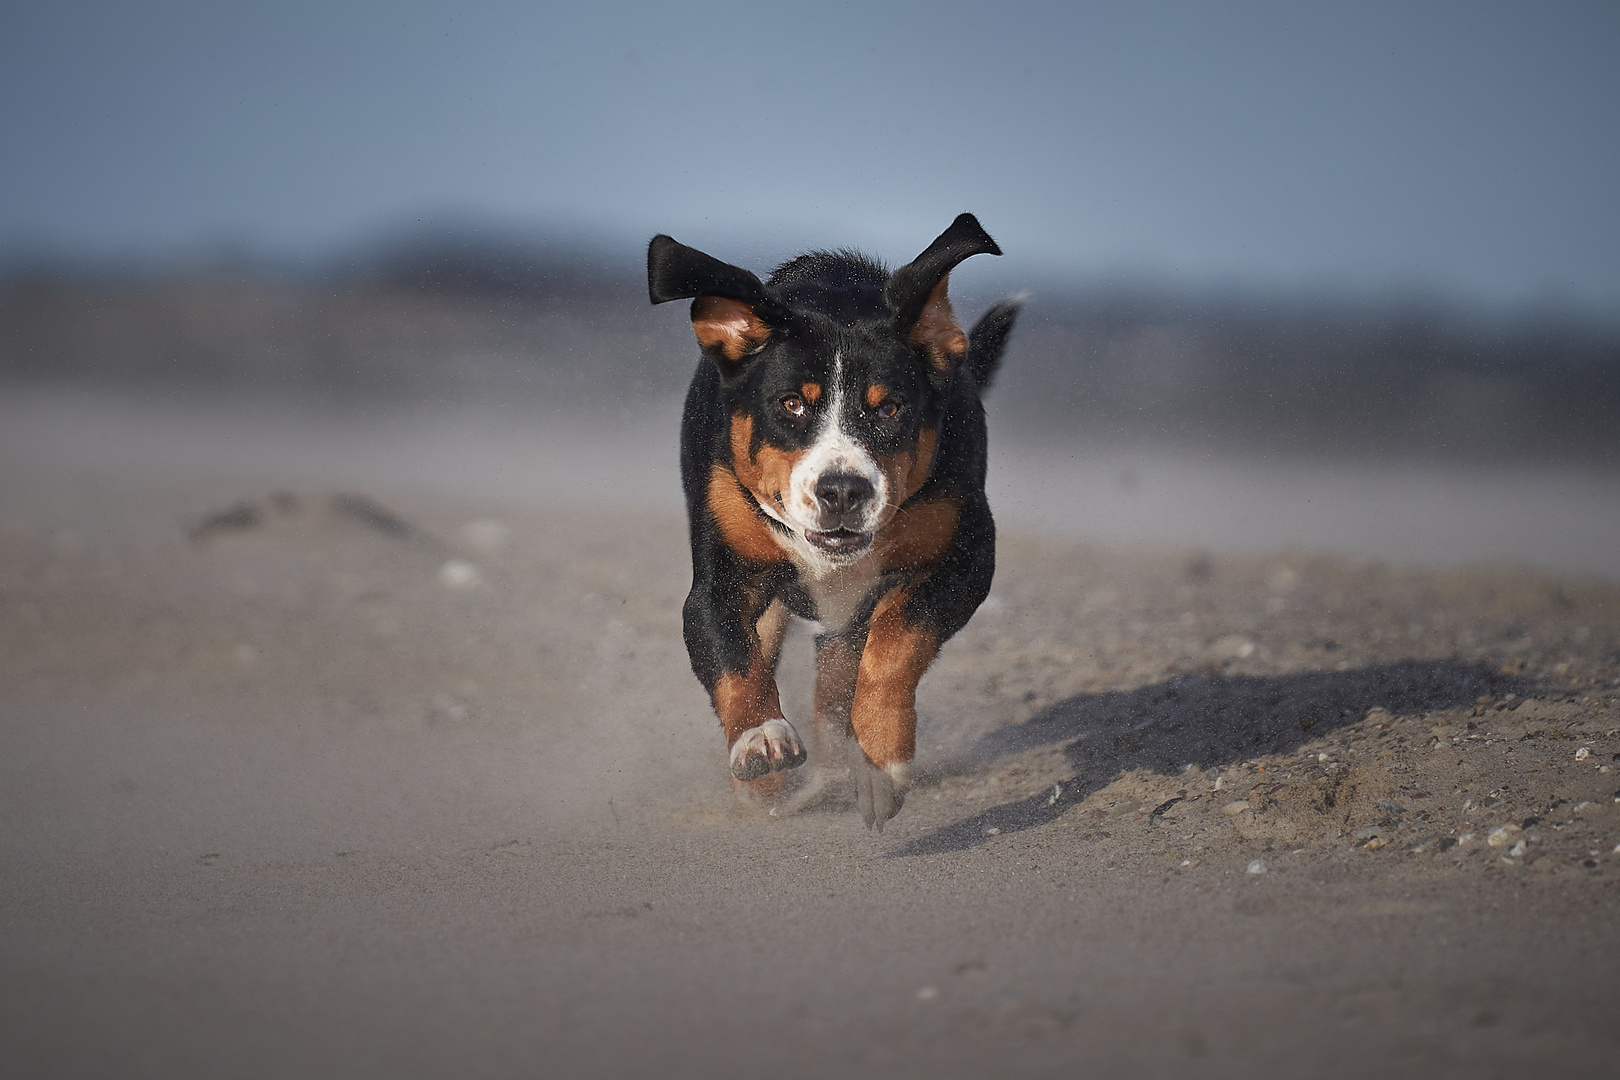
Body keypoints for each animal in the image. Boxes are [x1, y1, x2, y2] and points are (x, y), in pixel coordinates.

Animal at [648, 215, 1017, 835]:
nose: (843, 490)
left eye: (890, 408)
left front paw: (878, 762)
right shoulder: (719, 578)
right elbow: (732, 657)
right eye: (792, 404)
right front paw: (761, 740)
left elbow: (895, 642)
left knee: (842, 666)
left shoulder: (967, 556)